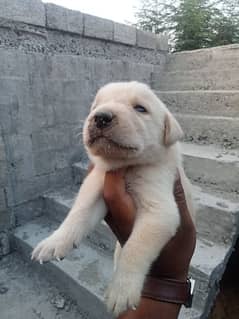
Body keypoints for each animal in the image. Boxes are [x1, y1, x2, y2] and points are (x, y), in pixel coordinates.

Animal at [31, 82, 195, 318]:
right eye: (95, 106)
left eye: (140, 108)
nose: (100, 117)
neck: (126, 166)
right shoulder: (97, 184)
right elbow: (78, 213)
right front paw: (54, 243)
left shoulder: (160, 208)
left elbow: (135, 248)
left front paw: (121, 290)